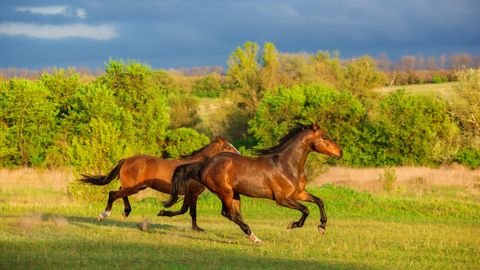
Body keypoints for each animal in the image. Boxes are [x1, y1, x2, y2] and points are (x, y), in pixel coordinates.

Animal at [78, 136, 240, 231]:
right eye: (228, 147)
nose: (238, 155)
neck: (196, 166)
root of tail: (125, 160)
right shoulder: (193, 193)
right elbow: (191, 212)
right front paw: (196, 228)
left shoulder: (188, 193)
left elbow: (184, 210)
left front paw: (164, 213)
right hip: (133, 187)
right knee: (113, 194)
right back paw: (103, 215)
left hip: (134, 187)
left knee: (120, 193)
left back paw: (126, 212)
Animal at [164, 124, 342, 243]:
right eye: (325, 137)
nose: (340, 152)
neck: (286, 165)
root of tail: (204, 164)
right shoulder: (282, 199)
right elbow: (305, 210)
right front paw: (292, 224)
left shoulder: (299, 193)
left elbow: (319, 201)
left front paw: (322, 227)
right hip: (225, 193)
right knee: (228, 214)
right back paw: (255, 238)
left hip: (235, 195)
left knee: (234, 215)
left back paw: (251, 236)